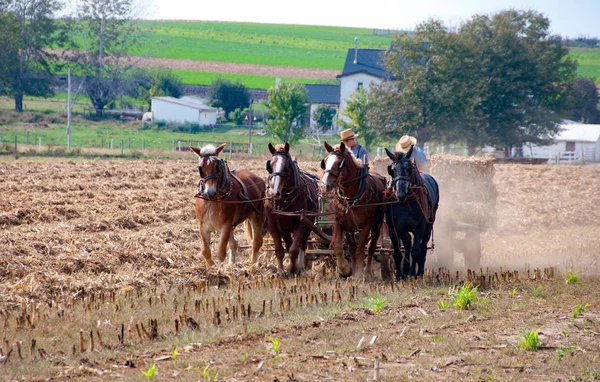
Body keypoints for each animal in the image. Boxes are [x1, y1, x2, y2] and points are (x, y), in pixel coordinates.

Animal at [264, 142, 322, 274]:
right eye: (270, 166)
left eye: (286, 167)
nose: (275, 192)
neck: (284, 200)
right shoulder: (273, 224)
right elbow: (279, 250)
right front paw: (281, 271)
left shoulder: (300, 223)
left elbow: (294, 249)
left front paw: (293, 269)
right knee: (289, 243)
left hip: (309, 224)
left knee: (302, 244)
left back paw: (300, 266)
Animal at [322, 140, 386, 278]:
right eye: (325, 161)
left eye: (339, 163)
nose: (324, 186)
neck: (350, 197)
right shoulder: (339, 222)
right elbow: (339, 247)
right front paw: (345, 270)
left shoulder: (366, 225)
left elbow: (361, 249)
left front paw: (358, 275)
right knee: (352, 248)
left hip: (377, 225)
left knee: (371, 248)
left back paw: (367, 273)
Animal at [386, 145, 438, 280]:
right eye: (392, 170)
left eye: (408, 168)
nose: (400, 193)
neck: (405, 202)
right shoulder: (394, 228)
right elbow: (399, 251)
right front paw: (399, 275)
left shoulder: (420, 226)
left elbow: (415, 250)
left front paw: (411, 274)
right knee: (409, 243)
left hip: (429, 224)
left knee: (422, 247)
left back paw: (418, 272)